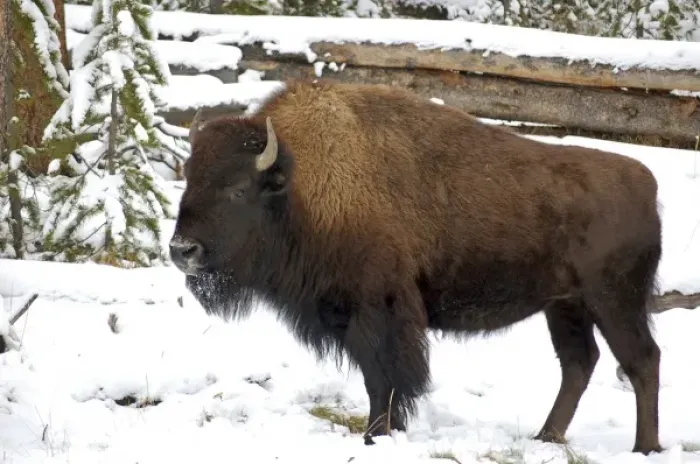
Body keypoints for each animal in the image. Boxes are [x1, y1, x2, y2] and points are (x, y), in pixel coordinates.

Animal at [169, 80, 663, 454]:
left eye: (237, 189)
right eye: (188, 177)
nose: (181, 250)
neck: (301, 185)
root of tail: (646, 182)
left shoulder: (379, 311)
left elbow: (383, 379)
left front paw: (376, 435)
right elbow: (379, 378)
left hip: (614, 302)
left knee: (642, 361)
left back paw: (643, 447)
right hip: (565, 307)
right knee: (579, 363)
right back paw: (546, 437)